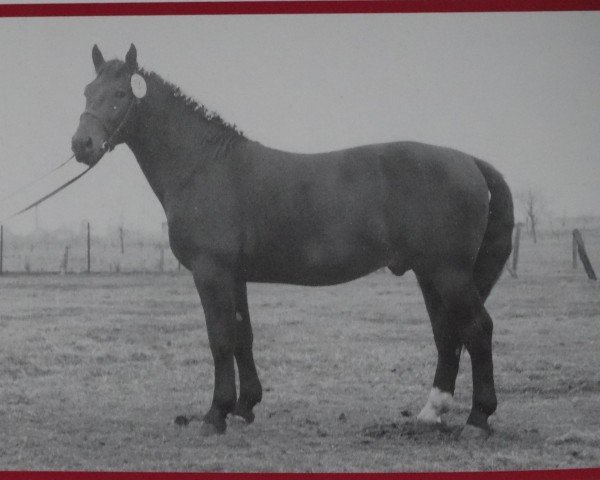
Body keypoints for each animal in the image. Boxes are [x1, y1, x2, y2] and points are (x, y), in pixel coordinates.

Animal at [70, 44, 510, 438]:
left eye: (120, 94)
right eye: (88, 91)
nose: (81, 145)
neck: (204, 166)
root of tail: (469, 160)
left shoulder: (211, 272)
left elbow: (220, 338)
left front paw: (215, 415)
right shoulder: (235, 276)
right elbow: (242, 336)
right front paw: (244, 407)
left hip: (448, 272)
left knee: (477, 328)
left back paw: (477, 419)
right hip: (429, 273)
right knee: (447, 332)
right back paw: (431, 412)